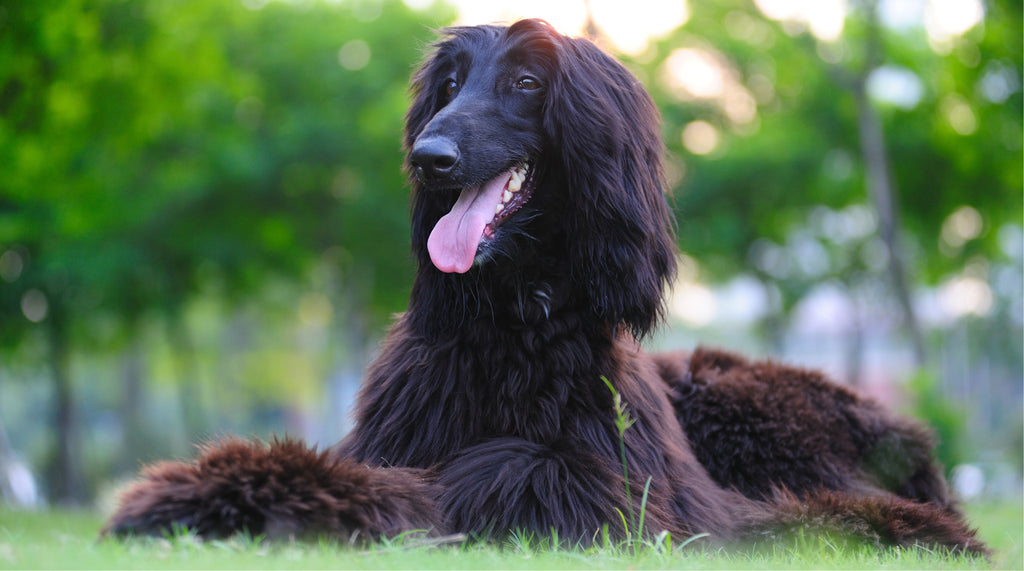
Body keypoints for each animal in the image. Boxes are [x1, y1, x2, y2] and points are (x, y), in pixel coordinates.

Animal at [101, 20, 983, 556]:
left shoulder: (630, 495)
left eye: (527, 82)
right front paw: (211, 488)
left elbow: (496, 470)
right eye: (449, 83)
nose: (429, 157)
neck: (511, 324)